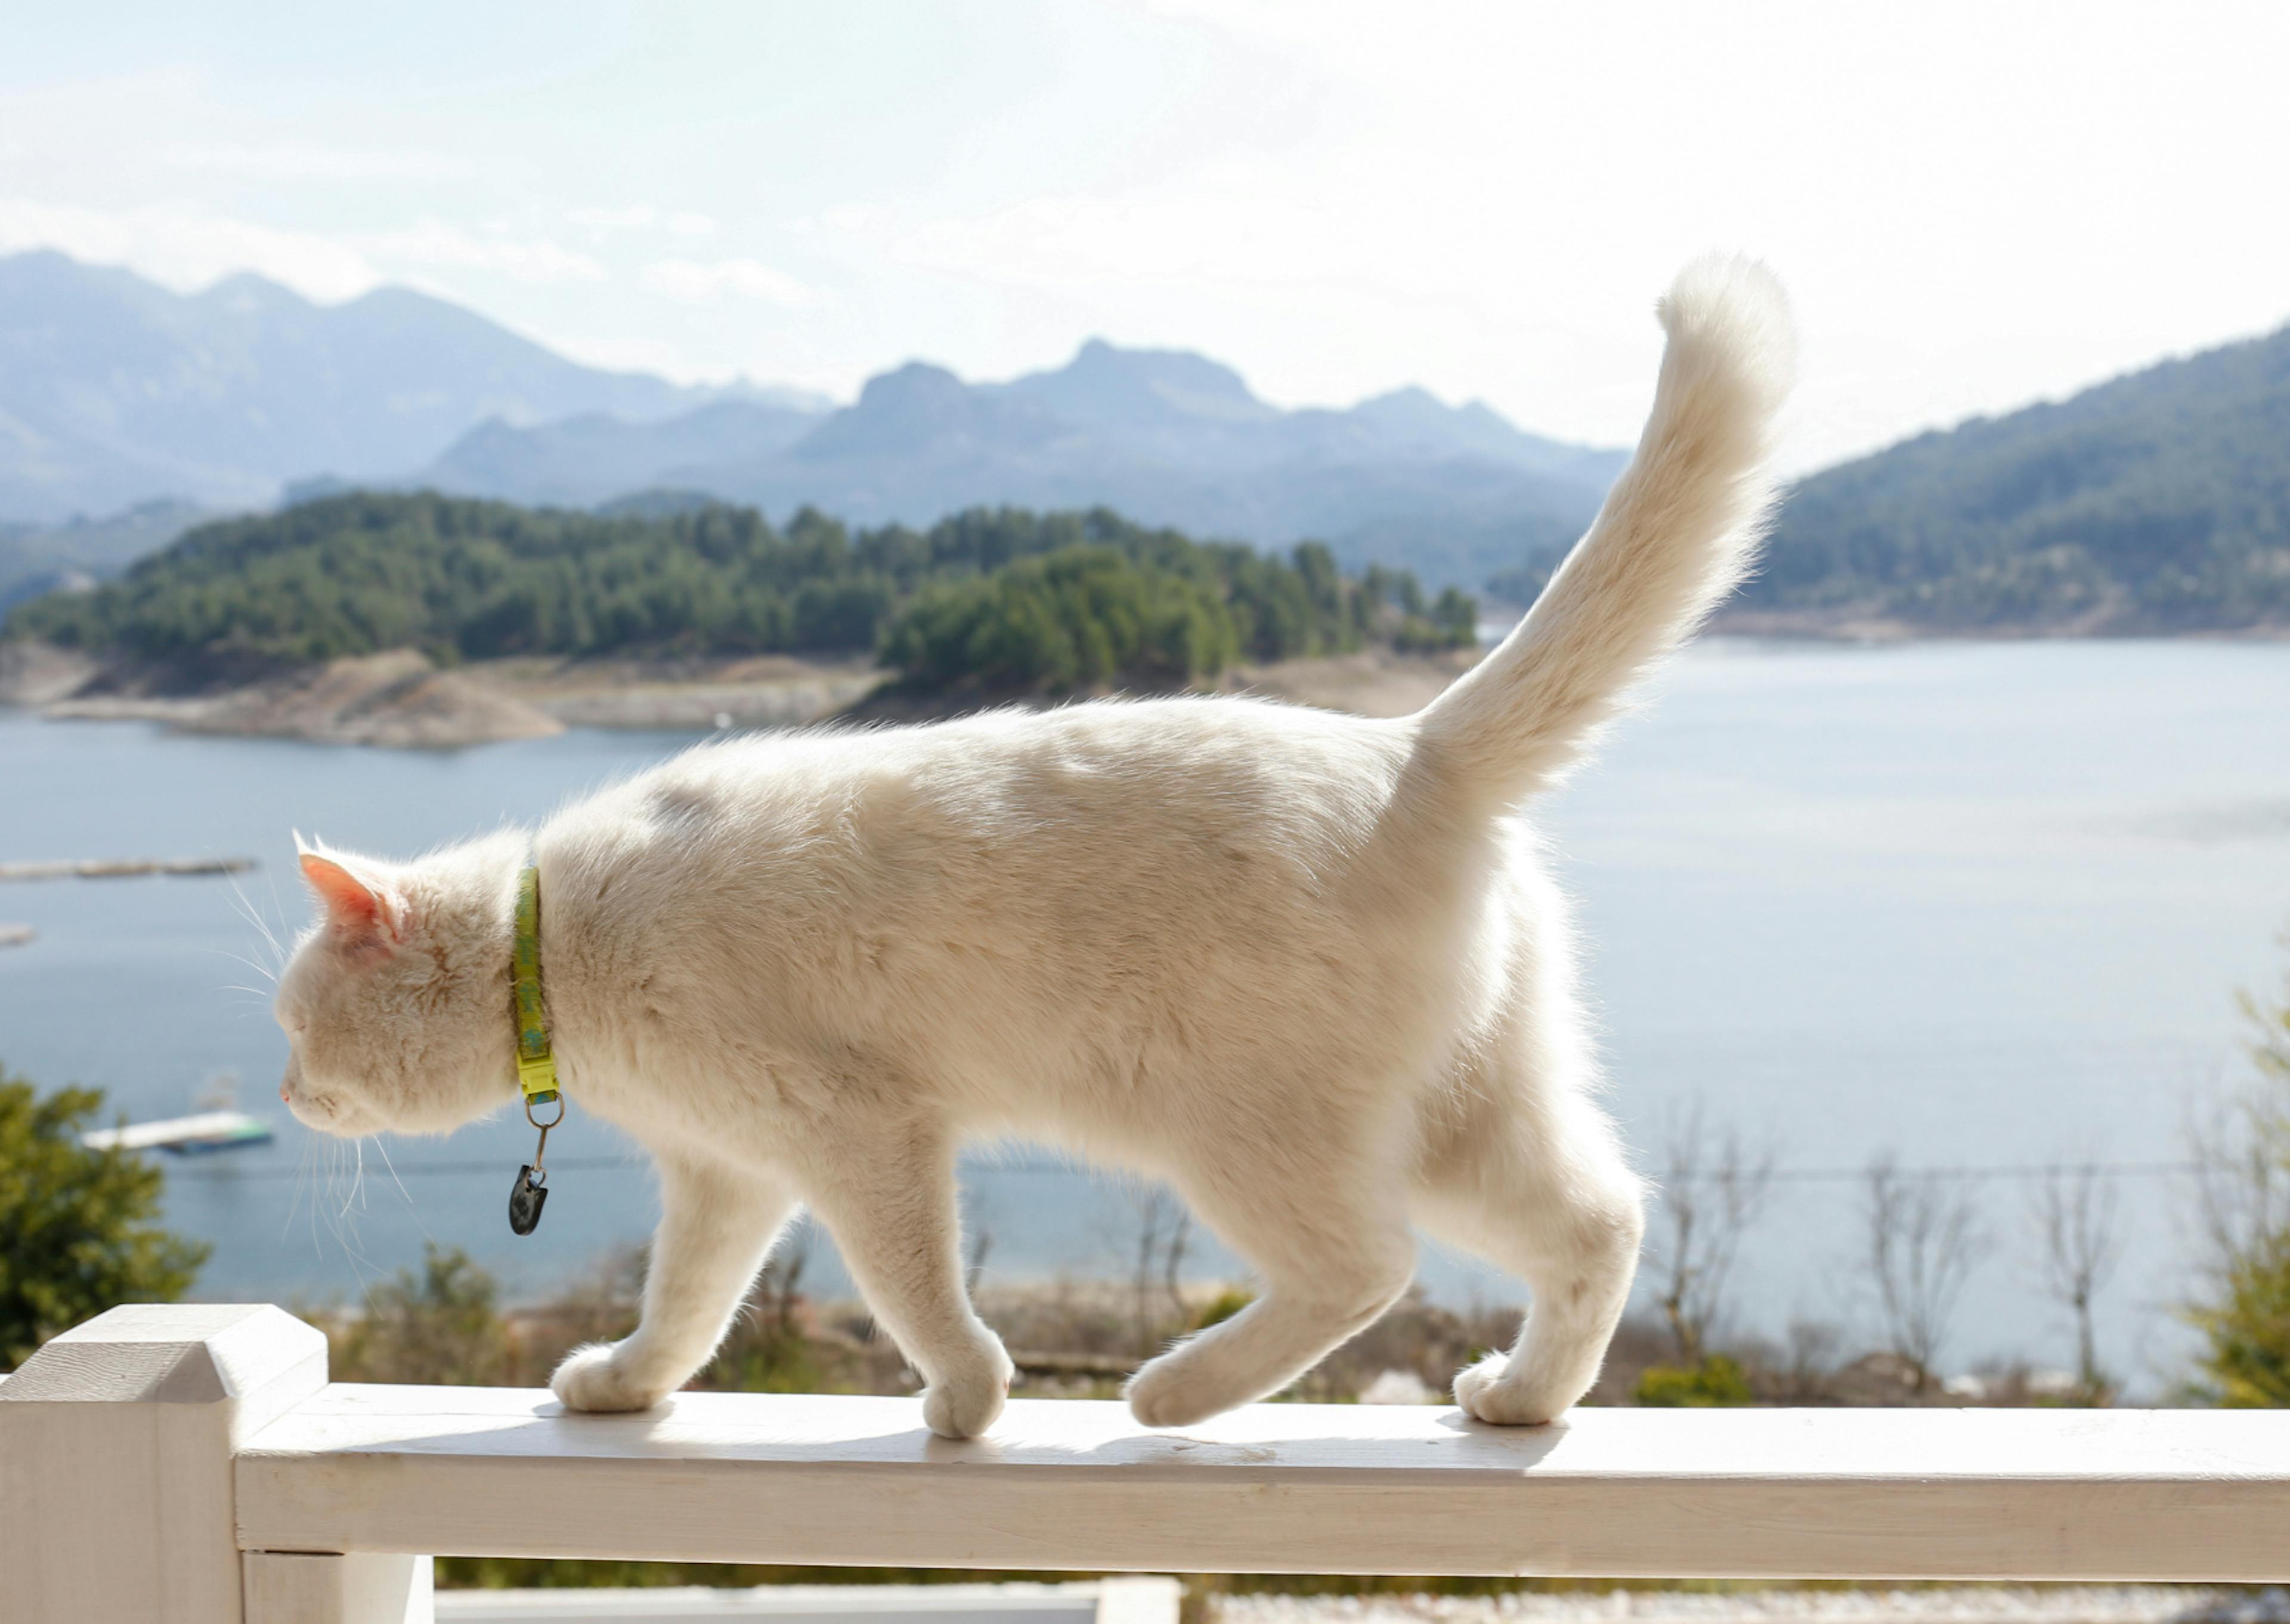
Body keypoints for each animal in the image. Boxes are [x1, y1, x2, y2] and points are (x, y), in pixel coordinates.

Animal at [277, 260, 1795, 1438]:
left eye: (293, 1024)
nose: (284, 1094)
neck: (555, 948)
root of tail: (1411, 742)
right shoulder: (729, 1173)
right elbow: (688, 1303)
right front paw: (625, 1385)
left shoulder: (862, 1131)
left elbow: (910, 1290)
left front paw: (968, 1396)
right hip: (1467, 1113)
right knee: (1600, 1222)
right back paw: (1520, 1398)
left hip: (1241, 1126)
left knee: (1369, 1264)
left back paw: (1173, 1392)